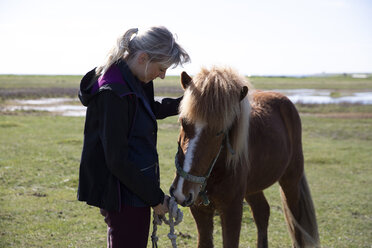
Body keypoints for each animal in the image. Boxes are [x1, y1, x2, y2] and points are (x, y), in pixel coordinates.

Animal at [170, 66, 318, 248]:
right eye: (183, 122)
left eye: (219, 131)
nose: (181, 192)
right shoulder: (199, 210)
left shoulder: (232, 210)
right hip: (254, 187)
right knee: (262, 213)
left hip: (290, 180)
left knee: (295, 221)